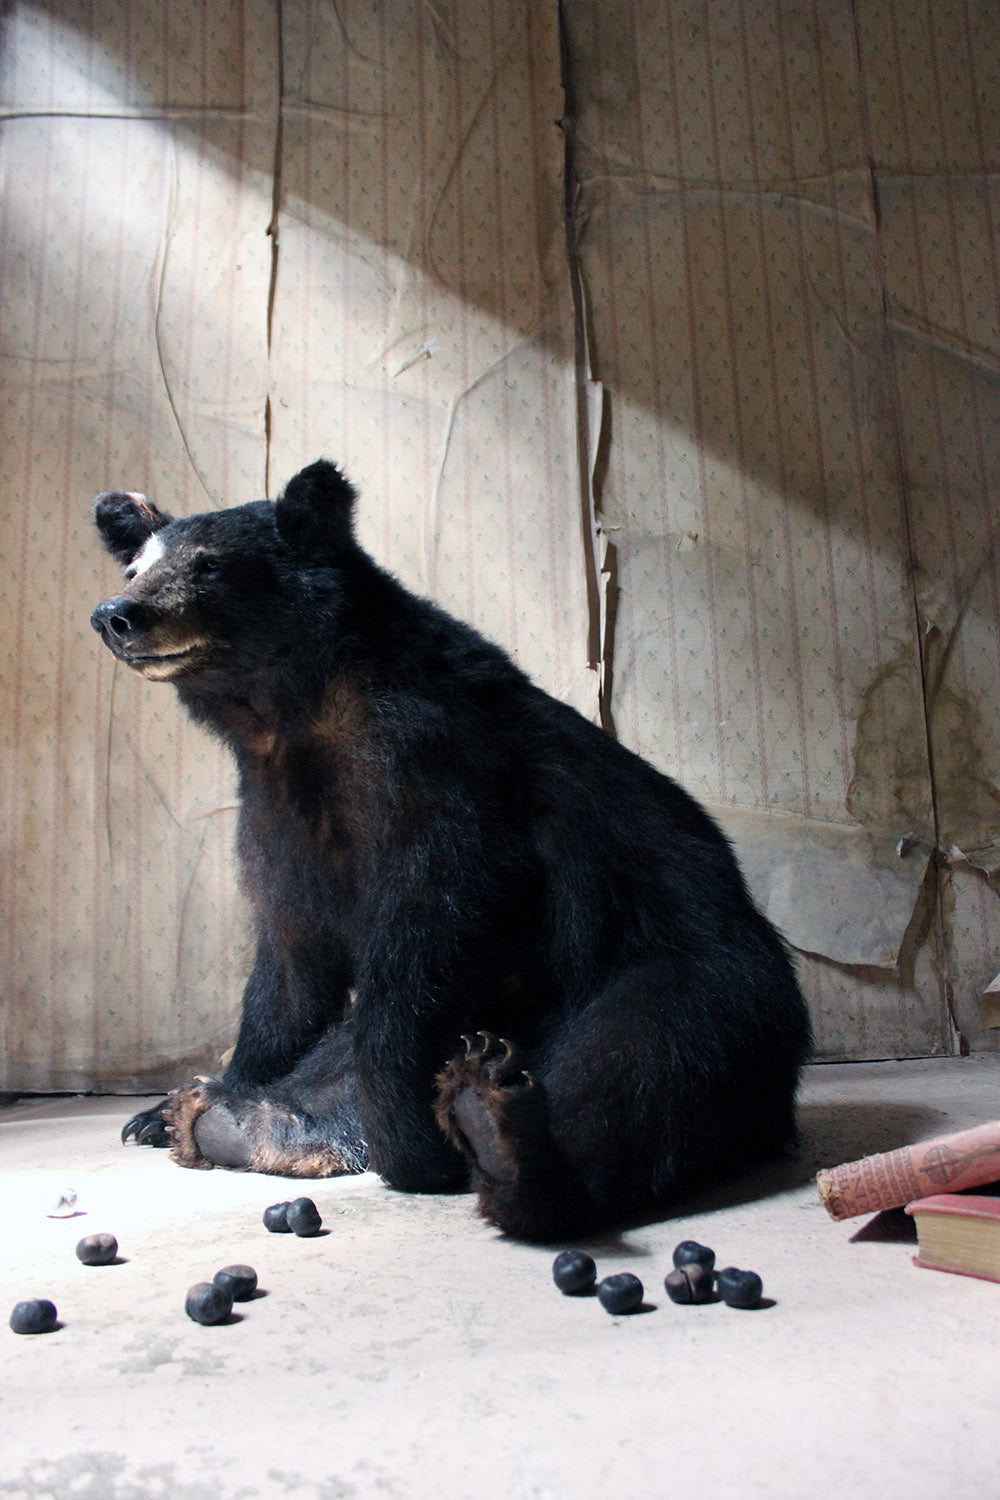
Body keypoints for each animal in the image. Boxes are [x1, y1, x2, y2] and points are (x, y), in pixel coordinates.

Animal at [90, 459, 811, 1241]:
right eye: (135, 566)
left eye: (209, 565)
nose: (116, 614)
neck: (293, 713)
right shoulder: (275, 813)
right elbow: (287, 962)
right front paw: (174, 1104)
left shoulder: (443, 777)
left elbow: (432, 928)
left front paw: (410, 1145)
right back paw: (234, 1121)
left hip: (696, 971)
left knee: (643, 1059)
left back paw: (504, 1142)